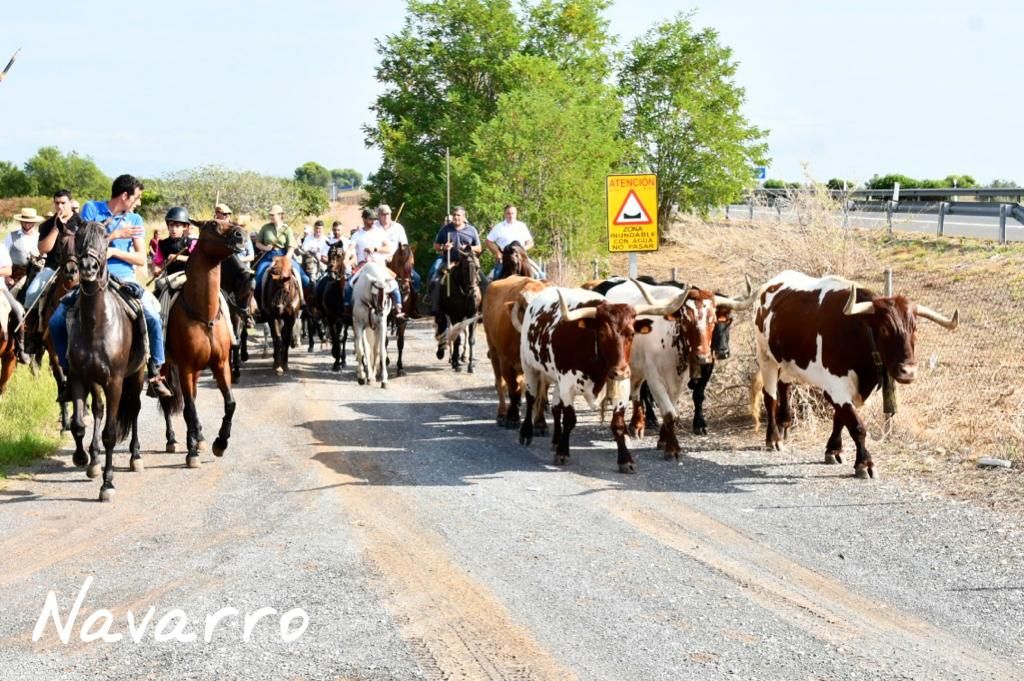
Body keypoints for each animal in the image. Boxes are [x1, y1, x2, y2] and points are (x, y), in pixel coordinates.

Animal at [65, 222, 147, 499]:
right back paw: (93, 459)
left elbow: (110, 433)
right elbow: (78, 423)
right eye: (79, 237)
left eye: (105, 238)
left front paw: (107, 483)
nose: (88, 267)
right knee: (99, 409)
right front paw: (83, 458)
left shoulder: (115, 382)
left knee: (134, 408)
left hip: (137, 375)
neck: (96, 324)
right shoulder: (79, 377)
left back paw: (135, 456)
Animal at [159, 218, 247, 466]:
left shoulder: (220, 364)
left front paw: (220, 443)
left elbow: (230, 403)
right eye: (213, 224)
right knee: (168, 401)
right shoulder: (186, 368)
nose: (240, 235)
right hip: (168, 367)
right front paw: (192, 453)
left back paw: (199, 438)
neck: (203, 315)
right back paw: (172, 439)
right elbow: (189, 408)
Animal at [481, 274, 552, 428]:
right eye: (526, 307)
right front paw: (512, 417)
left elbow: (539, 394)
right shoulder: (506, 363)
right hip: (494, 352)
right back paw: (502, 413)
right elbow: (513, 389)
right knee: (500, 383)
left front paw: (539, 422)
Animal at [520, 284, 688, 471]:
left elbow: (618, 424)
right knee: (531, 398)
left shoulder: (621, 387)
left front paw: (625, 459)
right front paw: (563, 453)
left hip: (556, 380)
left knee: (556, 408)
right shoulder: (568, 386)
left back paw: (556, 440)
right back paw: (526, 434)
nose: (621, 372)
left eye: (631, 334)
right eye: (602, 334)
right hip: (529, 366)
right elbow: (569, 419)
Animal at [753, 268, 958, 475]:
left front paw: (833, 449)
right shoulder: (837, 387)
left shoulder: (842, 389)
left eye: (915, 329)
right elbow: (856, 426)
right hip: (765, 356)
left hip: (787, 362)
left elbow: (840, 418)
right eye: (884, 329)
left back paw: (784, 424)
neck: (859, 334)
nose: (908, 371)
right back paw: (774, 438)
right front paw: (865, 463)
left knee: (784, 385)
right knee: (770, 397)